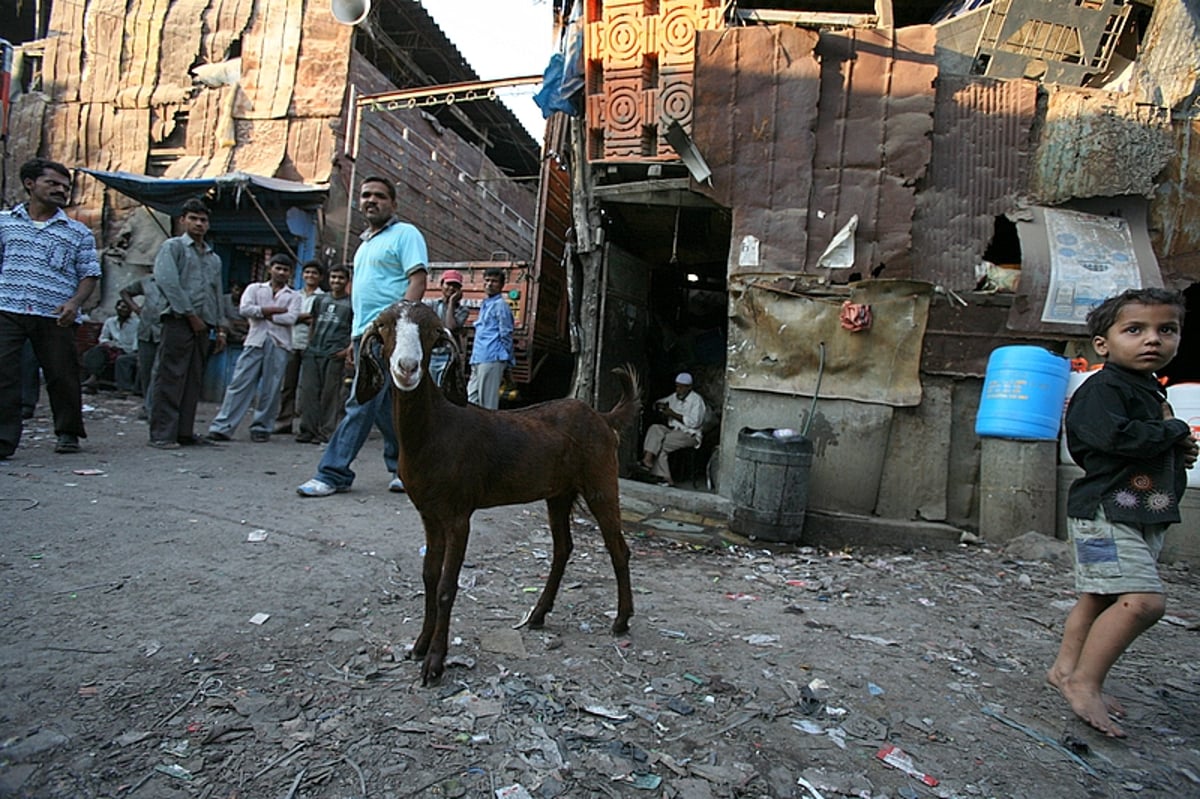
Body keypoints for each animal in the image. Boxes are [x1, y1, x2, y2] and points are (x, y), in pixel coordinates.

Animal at [352, 298, 643, 676]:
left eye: (431, 331)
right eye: (385, 326)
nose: (407, 367)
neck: (435, 430)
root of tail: (604, 418)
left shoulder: (459, 514)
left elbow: (446, 586)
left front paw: (435, 661)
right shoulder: (429, 514)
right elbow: (429, 577)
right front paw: (419, 646)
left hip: (601, 481)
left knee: (618, 548)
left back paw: (621, 620)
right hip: (559, 493)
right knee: (563, 548)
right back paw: (538, 614)